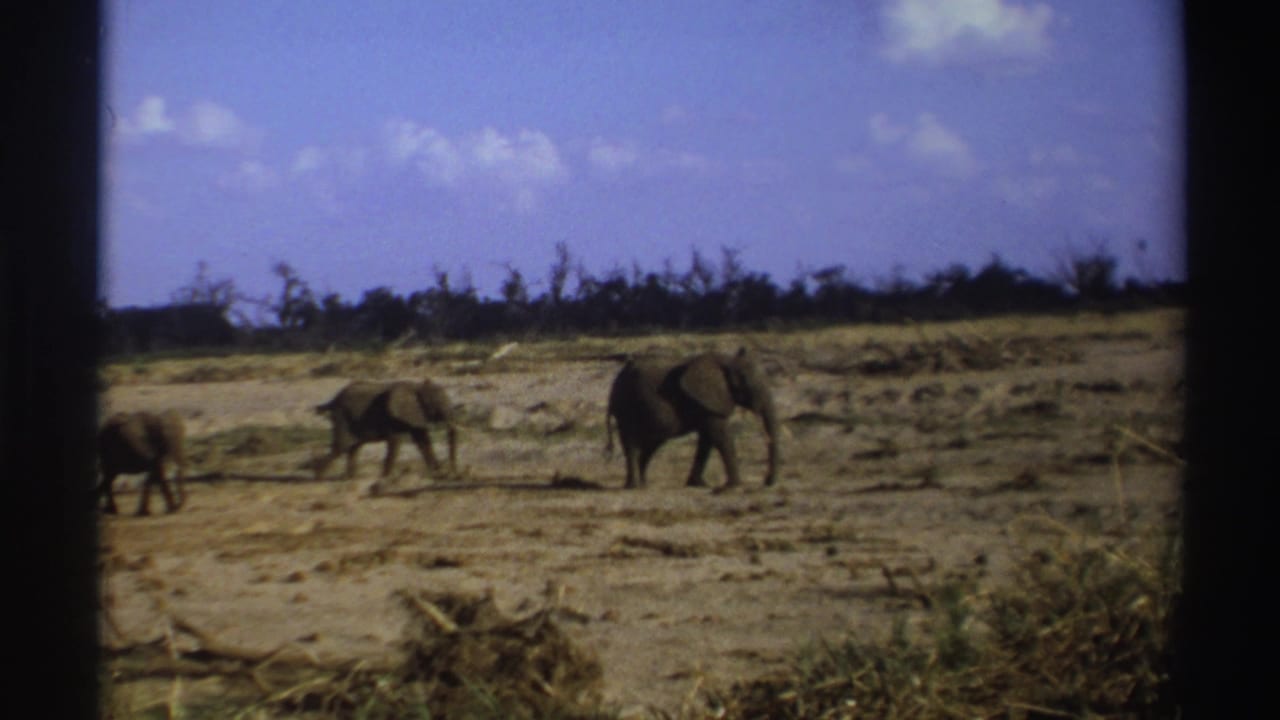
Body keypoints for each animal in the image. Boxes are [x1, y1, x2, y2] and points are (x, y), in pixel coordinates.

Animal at [314, 380, 458, 481]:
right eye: (437, 403)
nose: (452, 473)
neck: (416, 387)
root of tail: (333, 400)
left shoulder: (415, 414)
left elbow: (423, 441)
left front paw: (437, 473)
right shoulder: (392, 416)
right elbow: (395, 443)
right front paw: (386, 477)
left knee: (354, 448)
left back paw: (350, 477)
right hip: (342, 417)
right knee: (341, 447)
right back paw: (319, 476)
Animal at [605, 348, 780, 489]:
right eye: (746, 382)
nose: (767, 482)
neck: (727, 360)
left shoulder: (707, 404)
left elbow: (707, 439)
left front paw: (699, 484)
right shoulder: (708, 400)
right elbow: (720, 436)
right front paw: (734, 485)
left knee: (652, 443)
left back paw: (643, 484)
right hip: (626, 407)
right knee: (633, 443)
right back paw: (634, 487)